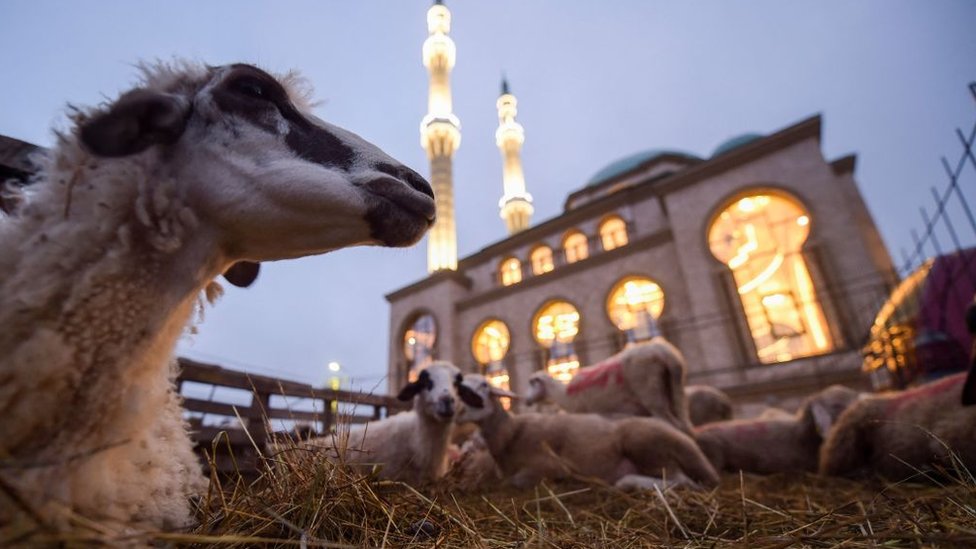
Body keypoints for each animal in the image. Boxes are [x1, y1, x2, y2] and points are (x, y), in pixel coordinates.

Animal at [456, 372, 716, 488]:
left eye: (484, 385)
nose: (456, 407)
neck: (510, 432)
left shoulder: (549, 465)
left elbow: (513, 482)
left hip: (647, 447)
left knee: (682, 482)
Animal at [528, 336, 692, 434]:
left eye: (531, 382)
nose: (527, 401)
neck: (565, 394)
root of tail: (664, 352)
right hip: (676, 389)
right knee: (685, 426)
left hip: (652, 394)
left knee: (673, 425)